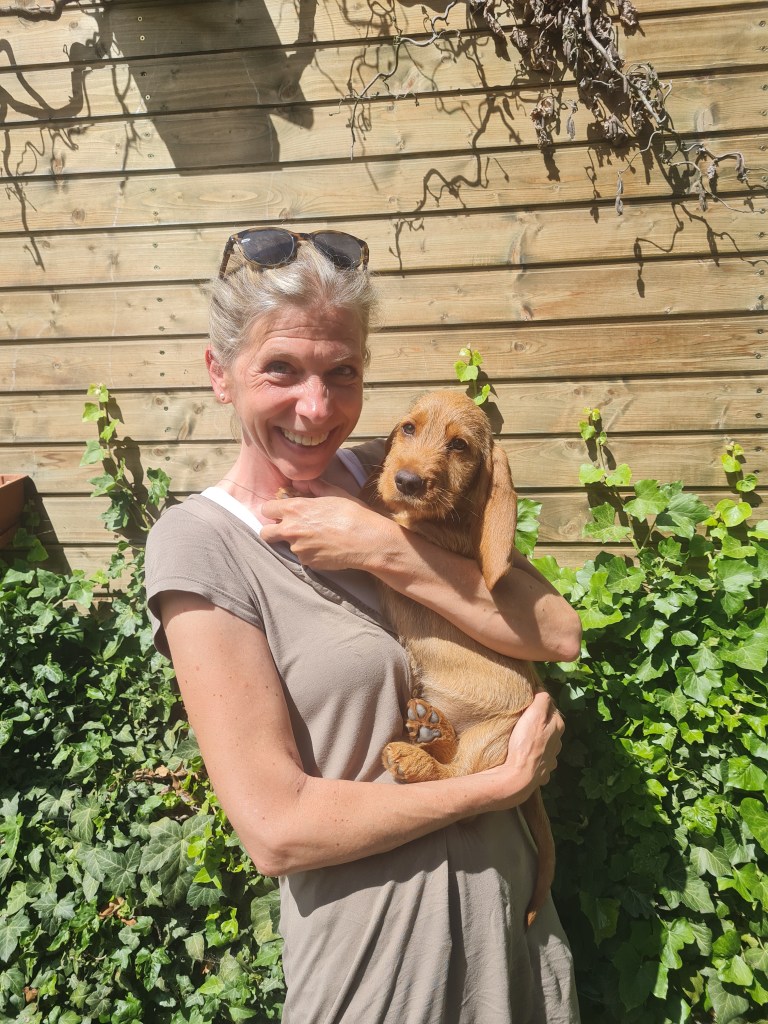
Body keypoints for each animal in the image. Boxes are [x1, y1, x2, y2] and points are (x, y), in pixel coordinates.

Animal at [361, 389, 555, 928]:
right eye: (408, 428)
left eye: (459, 446)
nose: (407, 481)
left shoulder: (419, 537)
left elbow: (381, 520)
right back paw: (431, 729)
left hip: (497, 737)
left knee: (462, 782)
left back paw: (414, 756)